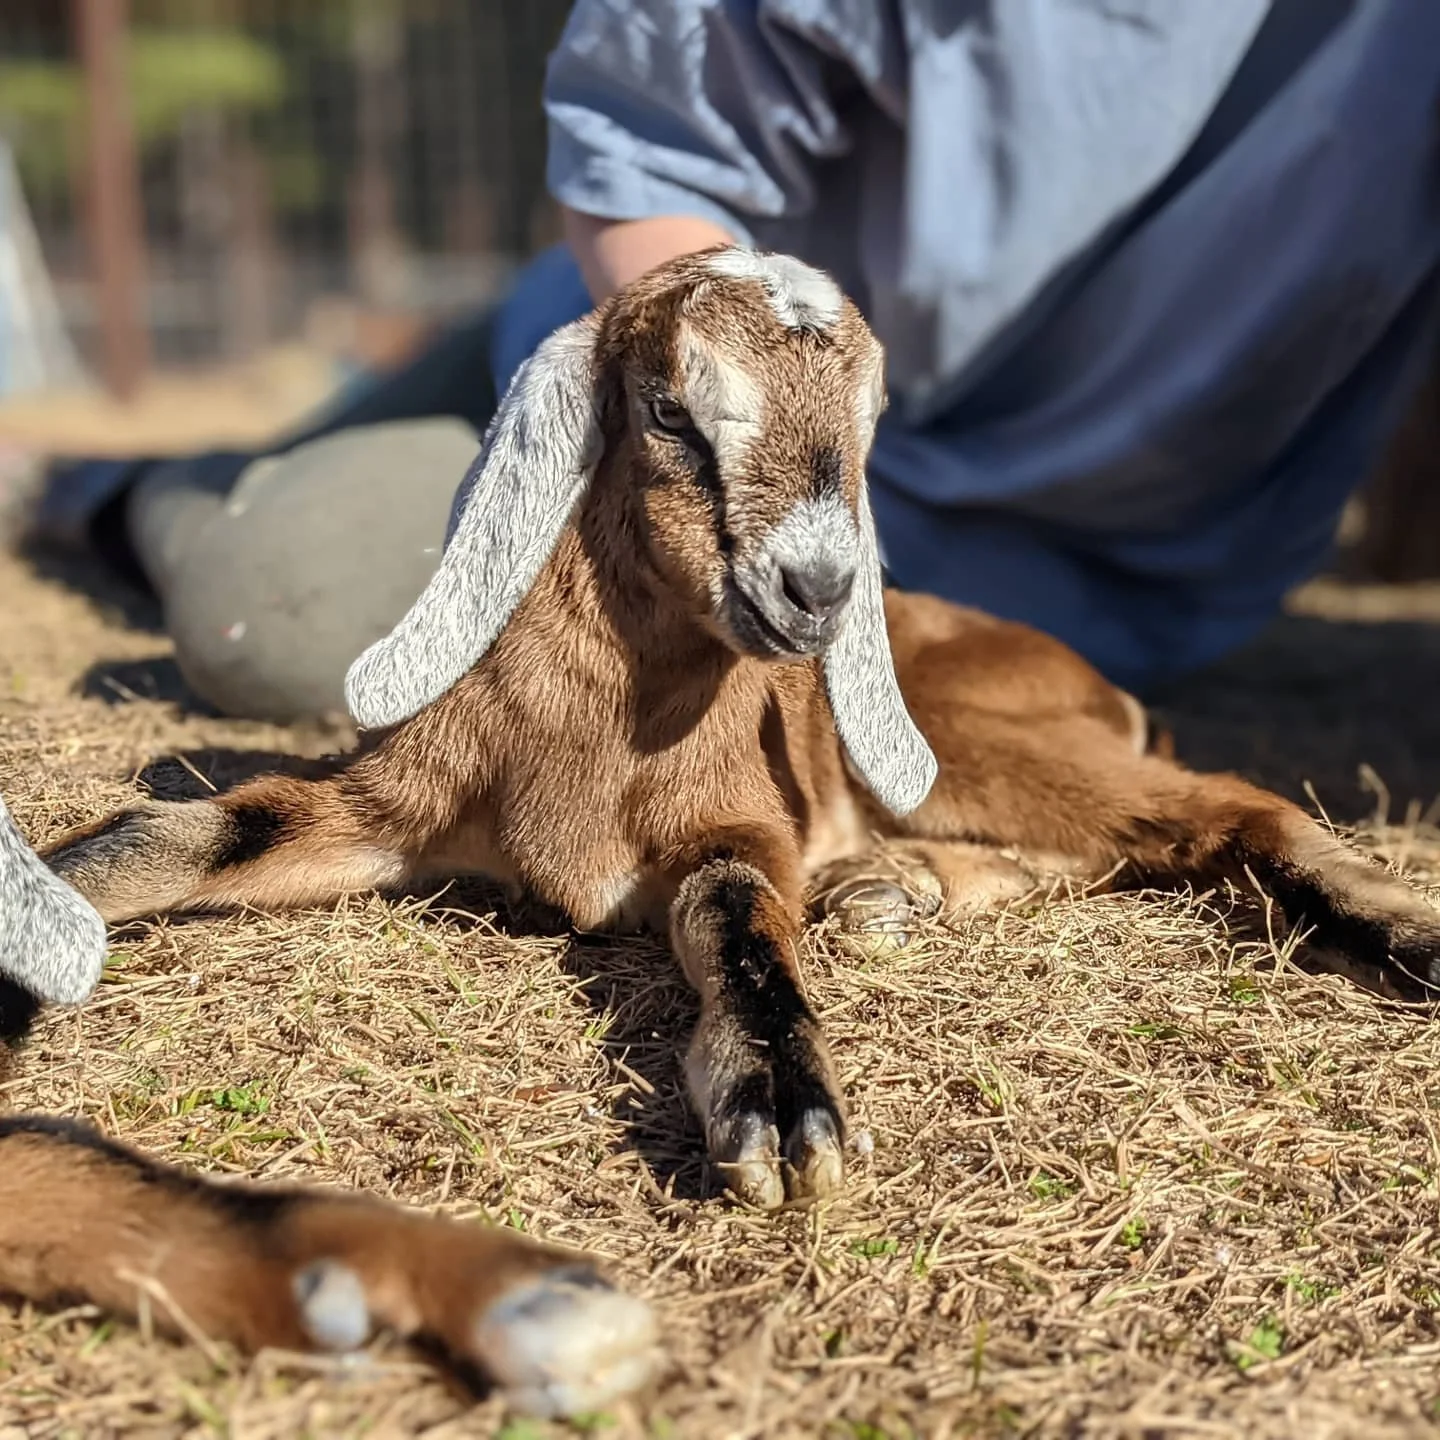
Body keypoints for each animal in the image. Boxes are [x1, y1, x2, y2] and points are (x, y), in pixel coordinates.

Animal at [41, 246, 1440, 1215]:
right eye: (670, 410)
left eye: (868, 428)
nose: (818, 591)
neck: (602, 733)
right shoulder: (390, 803)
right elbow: (195, 831)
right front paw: (47, 904)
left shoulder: (736, 820)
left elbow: (738, 922)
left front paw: (782, 1116)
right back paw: (892, 889)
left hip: (973, 734)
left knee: (1218, 810)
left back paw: (1404, 937)